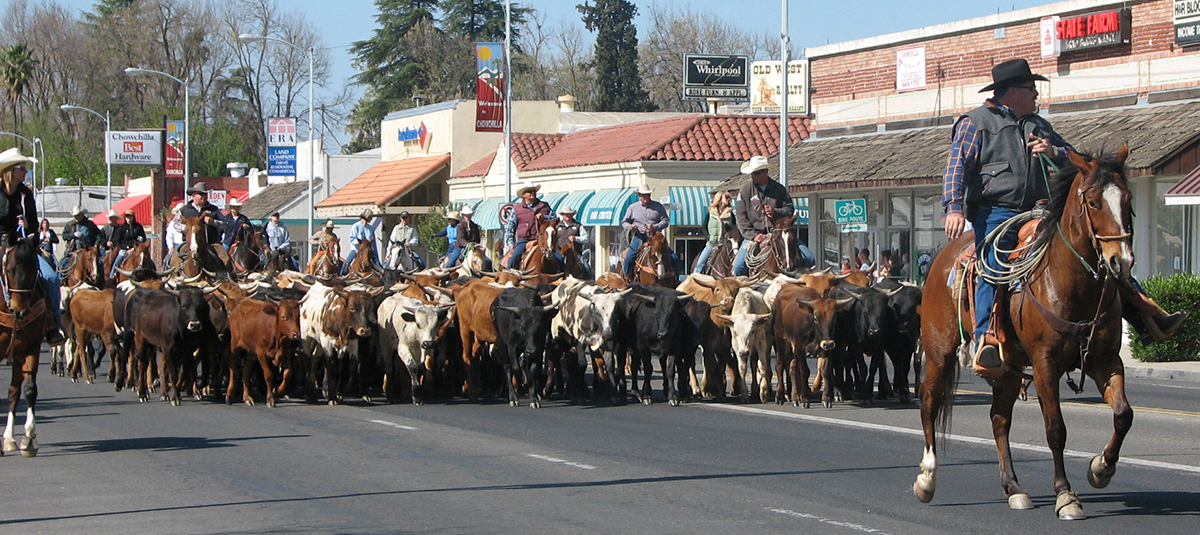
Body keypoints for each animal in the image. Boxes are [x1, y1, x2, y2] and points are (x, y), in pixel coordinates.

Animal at [916, 145, 1132, 518]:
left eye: (1128, 200)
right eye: (1093, 202)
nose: (1122, 261)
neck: (1070, 283)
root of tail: (942, 257)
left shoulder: (1105, 361)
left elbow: (1123, 415)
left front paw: (1101, 468)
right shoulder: (1046, 365)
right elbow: (1055, 429)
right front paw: (1065, 495)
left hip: (1009, 367)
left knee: (999, 419)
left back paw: (1014, 488)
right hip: (939, 352)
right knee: (929, 403)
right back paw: (927, 478)